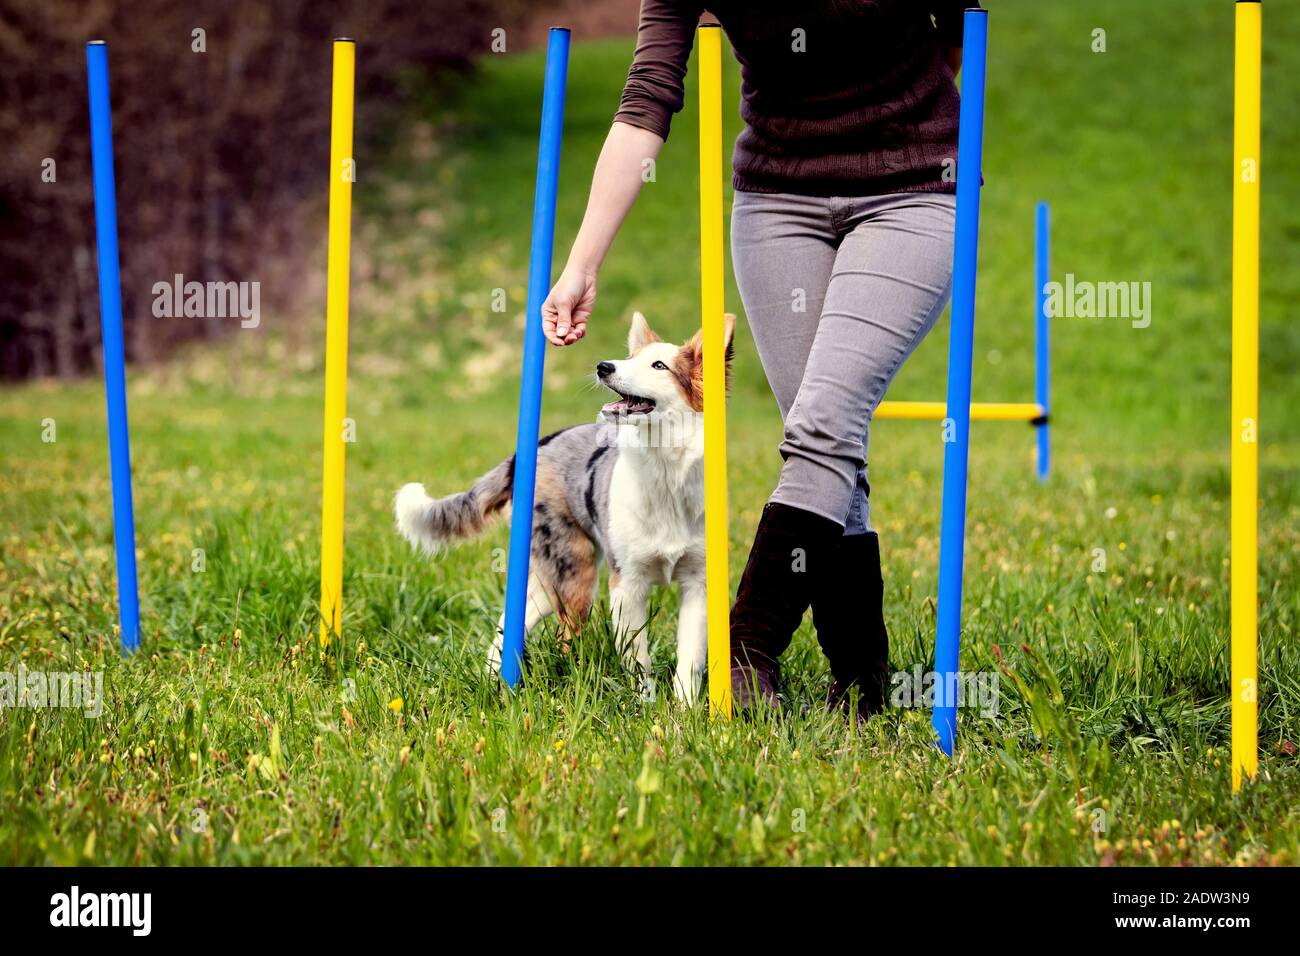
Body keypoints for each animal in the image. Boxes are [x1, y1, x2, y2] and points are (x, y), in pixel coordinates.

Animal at [390, 312, 738, 702]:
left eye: (659, 365)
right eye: (630, 358)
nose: (604, 366)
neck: (665, 472)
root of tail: (540, 444)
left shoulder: (697, 584)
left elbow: (689, 659)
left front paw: (686, 709)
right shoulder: (627, 585)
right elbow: (638, 660)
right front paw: (646, 707)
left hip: (554, 577)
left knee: (515, 617)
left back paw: (494, 677)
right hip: (575, 573)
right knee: (563, 637)